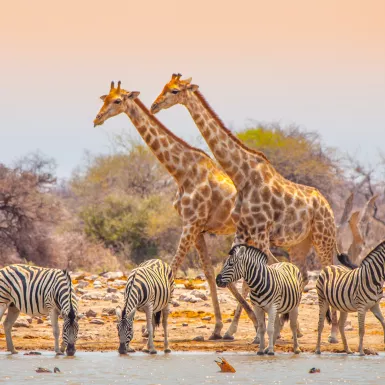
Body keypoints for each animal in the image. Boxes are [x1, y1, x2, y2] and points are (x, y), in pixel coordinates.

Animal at [92, 81, 258, 340]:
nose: (97, 118)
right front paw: (216, 327)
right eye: (105, 99)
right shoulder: (197, 228)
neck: (182, 171)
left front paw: (150, 325)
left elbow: (173, 269)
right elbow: (207, 273)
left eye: (117, 101)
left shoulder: (190, 223)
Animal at [150, 73, 340, 342]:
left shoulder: (260, 232)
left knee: (328, 273)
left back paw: (332, 333)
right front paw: (258, 329)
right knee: (302, 274)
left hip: (324, 239)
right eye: (164, 87)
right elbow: (234, 278)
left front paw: (264, 328)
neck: (242, 176)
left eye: (175, 91)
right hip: (299, 244)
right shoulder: (243, 231)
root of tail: (327, 205)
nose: (154, 105)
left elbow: (261, 275)